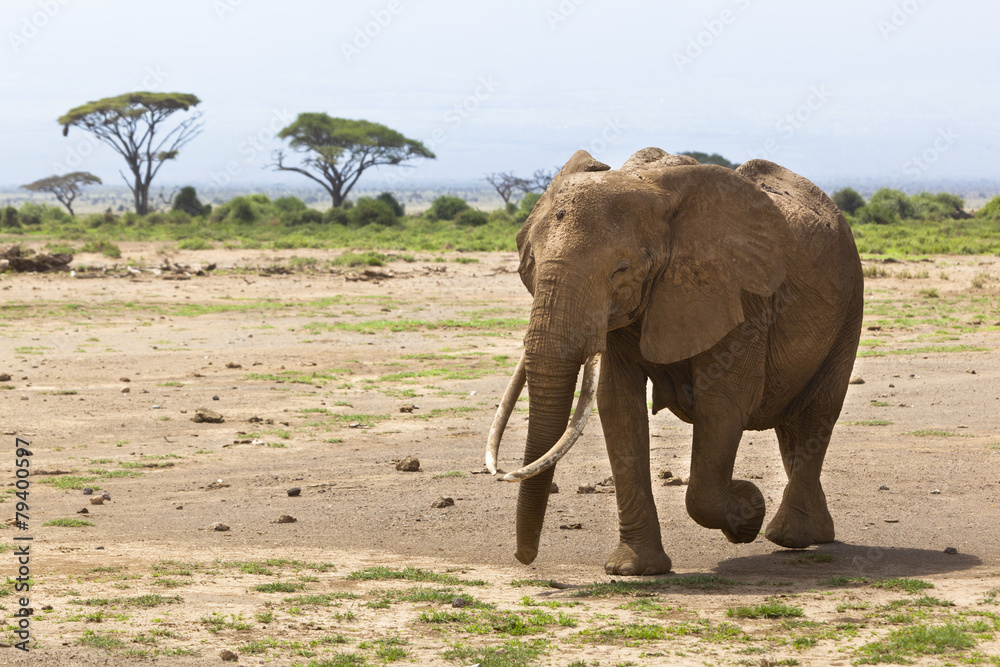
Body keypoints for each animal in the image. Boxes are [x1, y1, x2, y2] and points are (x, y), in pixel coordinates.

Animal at [485, 147, 863, 576]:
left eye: (621, 269)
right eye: (531, 261)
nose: (524, 557)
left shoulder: (739, 292)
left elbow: (724, 403)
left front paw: (748, 509)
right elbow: (618, 406)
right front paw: (633, 569)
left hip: (850, 304)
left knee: (819, 411)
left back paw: (788, 537)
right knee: (791, 426)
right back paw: (815, 534)